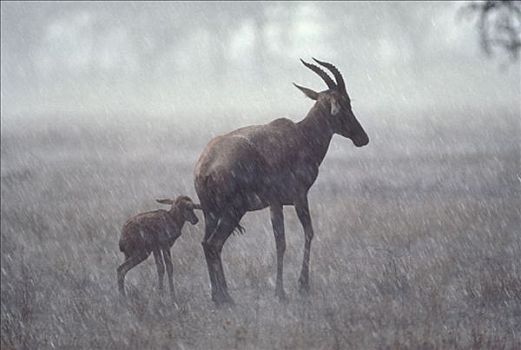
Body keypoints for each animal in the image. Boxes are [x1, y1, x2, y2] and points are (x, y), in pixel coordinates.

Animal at [193, 57, 368, 304]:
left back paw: (219, 297)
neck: (300, 135)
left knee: (206, 243)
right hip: (233, 210)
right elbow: (292, 238)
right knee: (214, 244)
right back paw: (225, 298)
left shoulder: (280, 203)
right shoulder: (293, 198)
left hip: (211, 212)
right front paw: (291, 289)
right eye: (345, 102)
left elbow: (288, 238)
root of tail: (205, 167)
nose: (363, 138)